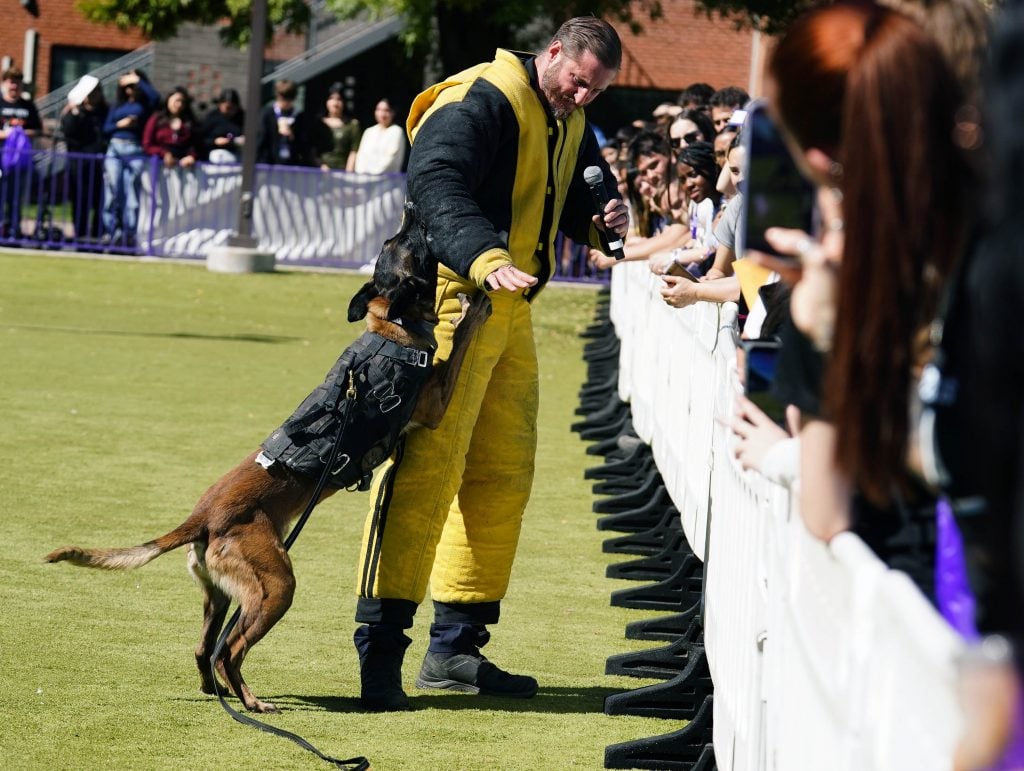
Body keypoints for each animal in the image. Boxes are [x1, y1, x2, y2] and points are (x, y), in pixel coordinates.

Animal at [45, 204, 492, 714]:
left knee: (205, 648)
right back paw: (252, 702)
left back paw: (219, 693)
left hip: (224, 596)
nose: (412, 208)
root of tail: (202, 516)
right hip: (275, 585)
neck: (391, 327)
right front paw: (475, 309)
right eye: (406, 243)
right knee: (229, 651)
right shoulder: (434, 404)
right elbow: (458, 349)